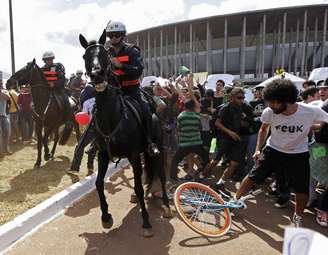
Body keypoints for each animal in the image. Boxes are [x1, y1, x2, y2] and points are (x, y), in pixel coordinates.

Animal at [80, 31, 172, 237]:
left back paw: (166, 206)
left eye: (105, 54)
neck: (112, 116)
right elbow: (99, 184)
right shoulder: (103, 155)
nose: (97, 76)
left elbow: (137, 186)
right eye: (85, 56)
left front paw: (146, 222)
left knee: (161, 175)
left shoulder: (133, 155)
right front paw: (106, 217)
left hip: (158, 150)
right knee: (148, 174)